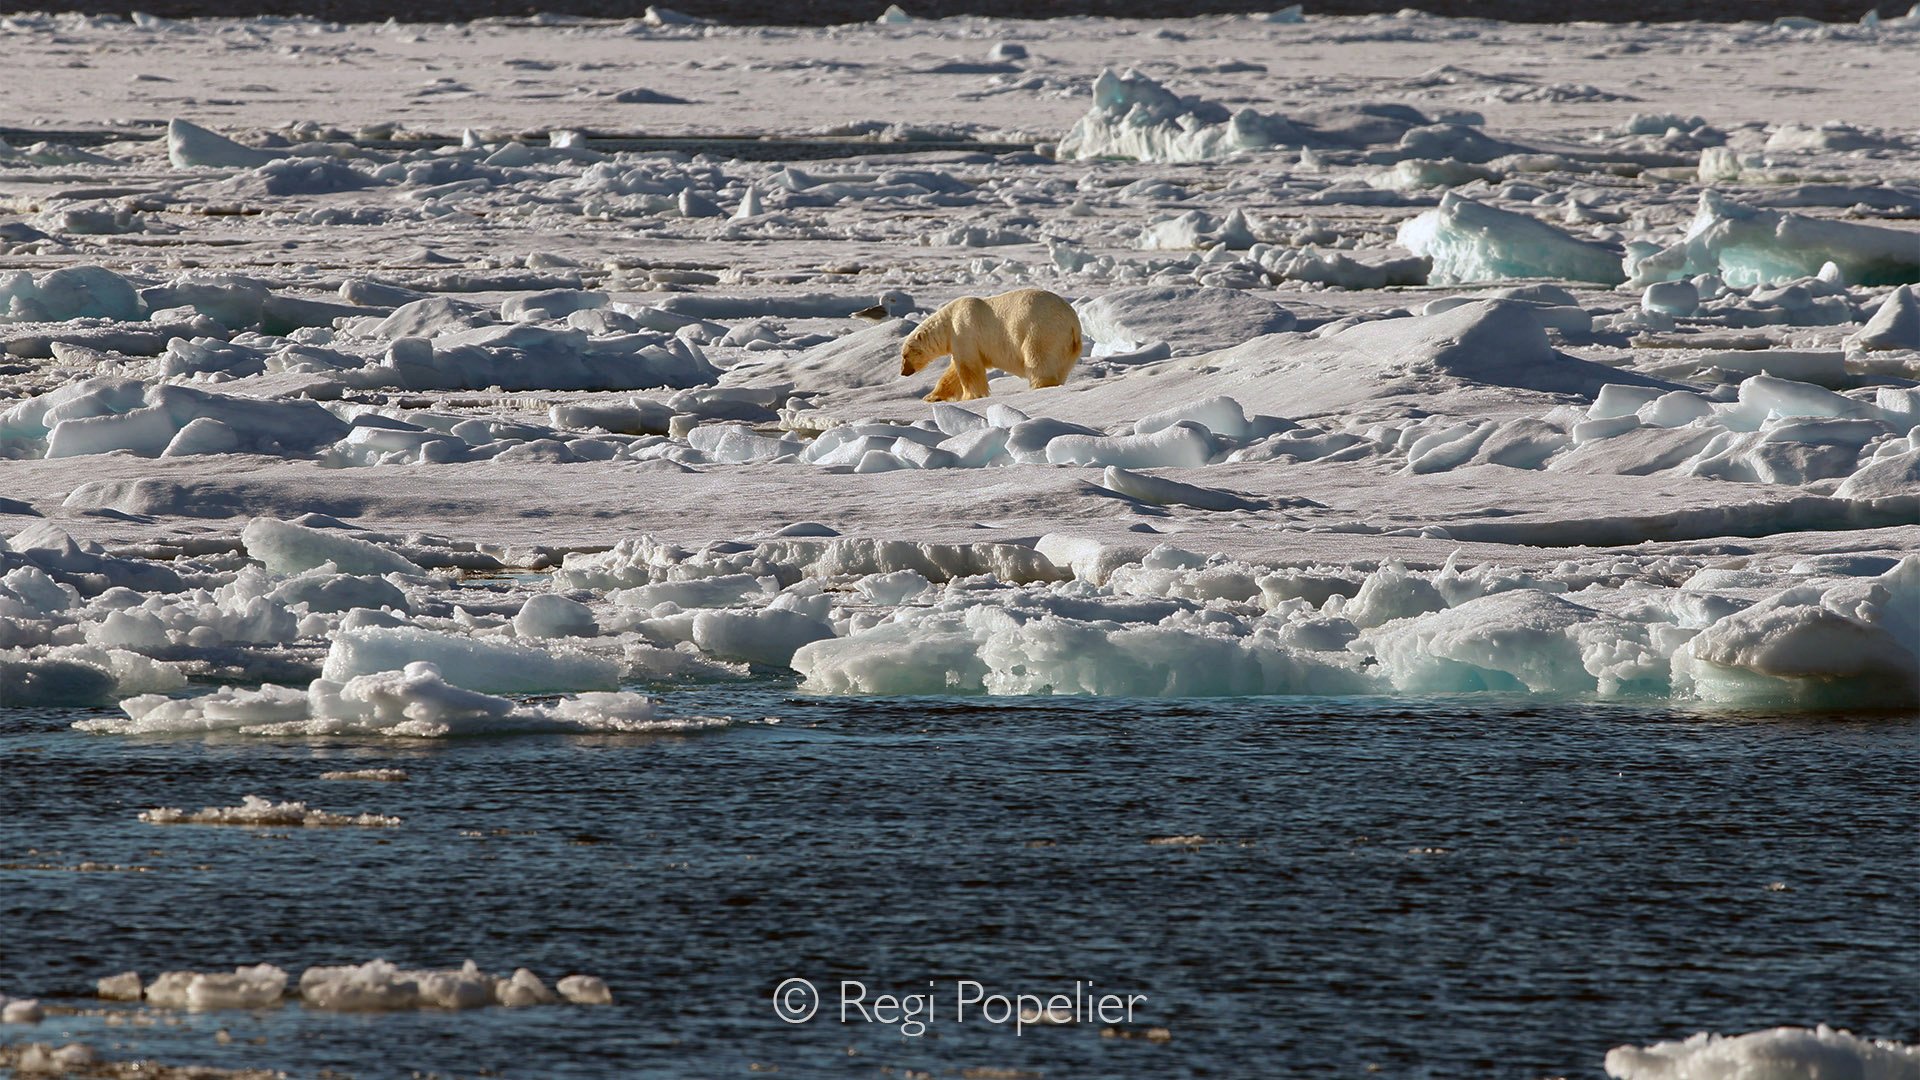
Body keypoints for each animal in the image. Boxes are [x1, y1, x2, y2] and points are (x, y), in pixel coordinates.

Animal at [898, 288, 1083, 402]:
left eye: (905, 356)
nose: (903, 372)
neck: (948, 322)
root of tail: (1073, 322)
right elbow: (953, 372)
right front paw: (932, 397)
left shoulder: (964, 331)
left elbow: (968, 368)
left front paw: (970, 397)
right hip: (1067, 348)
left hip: (1041, 330)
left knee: (1038, 358)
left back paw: (1040, 386)